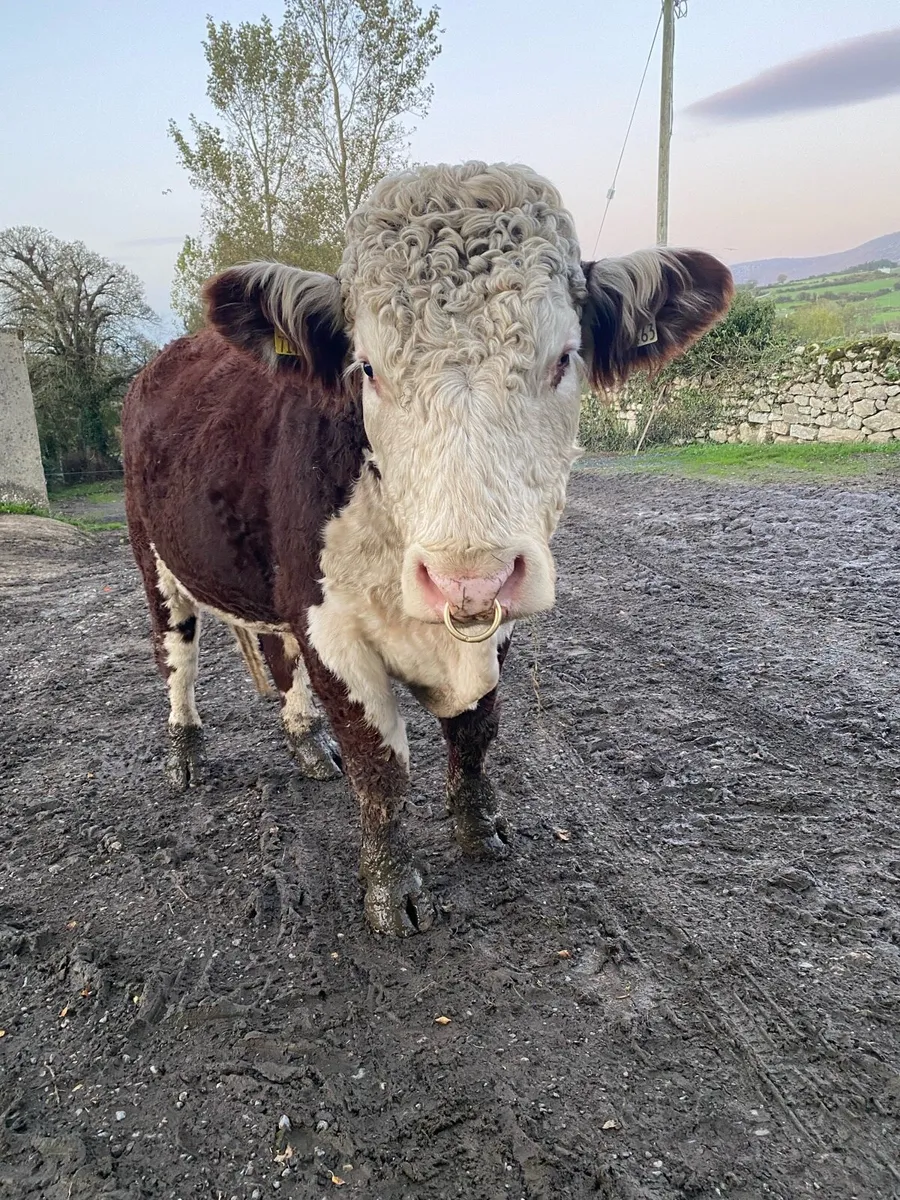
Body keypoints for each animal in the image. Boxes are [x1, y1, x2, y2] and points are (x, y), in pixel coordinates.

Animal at [122, 161, 733, 936]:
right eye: (367, 369)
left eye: (564, 358)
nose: (467, 576)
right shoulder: (329, 627)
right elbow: (380, 767)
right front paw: (391, 890)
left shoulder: (489, 624)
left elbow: (475, 733)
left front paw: (479, 830)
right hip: (154, 560)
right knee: (178, 660)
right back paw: (186, 754)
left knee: (276, 659)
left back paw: (303, 742)